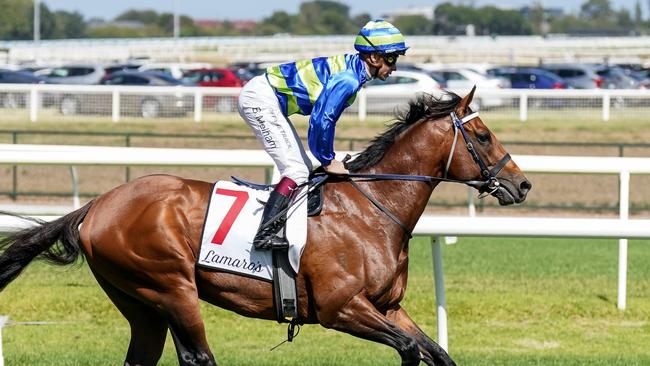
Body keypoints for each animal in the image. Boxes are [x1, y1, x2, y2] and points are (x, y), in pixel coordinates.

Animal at [0, 89, 528, 366]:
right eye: (483, 136)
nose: (521, 184)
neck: (371, 210)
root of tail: (96, 205)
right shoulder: (341, 309)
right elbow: (410, 350)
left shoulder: (388, 308)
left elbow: (435, 352)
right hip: (169, 287)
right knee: (198, 357)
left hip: (142, 305)